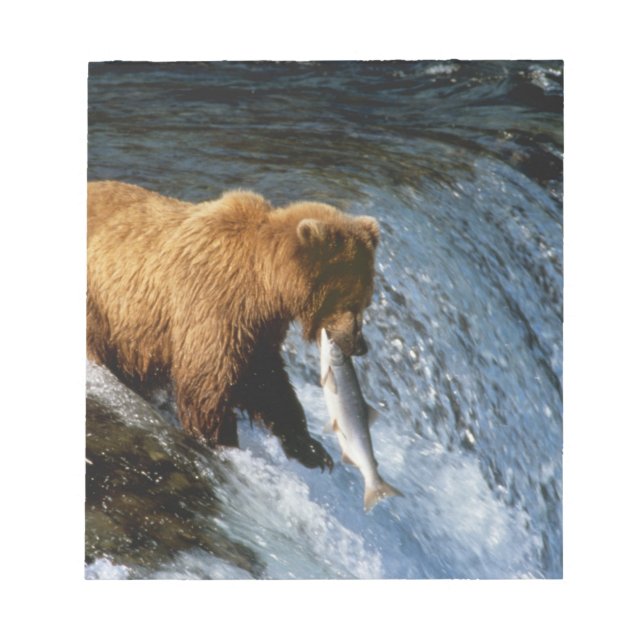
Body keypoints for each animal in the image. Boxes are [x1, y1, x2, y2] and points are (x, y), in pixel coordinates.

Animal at [87, 181, 379, 471]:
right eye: (352, 301)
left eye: (366, 301)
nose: (360, 345)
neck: (266, 284)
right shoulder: (215, 302)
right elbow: (207, 380)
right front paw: (222, 441)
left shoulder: (259, 325)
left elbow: (266, 379)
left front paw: (311, 448)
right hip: (100, 309)